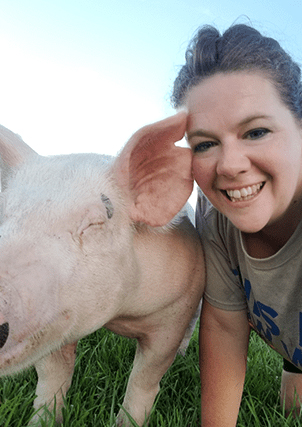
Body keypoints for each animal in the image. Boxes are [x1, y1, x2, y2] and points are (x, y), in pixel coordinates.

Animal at [0, 112, 205, 426]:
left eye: (95, 223)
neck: (120, 314)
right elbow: (52, 378)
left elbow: (145, 379)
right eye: (4, 214)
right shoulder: (55, 321)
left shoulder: (177, 307)